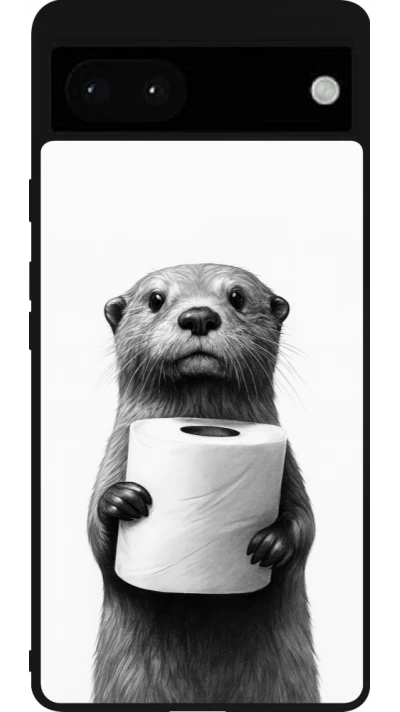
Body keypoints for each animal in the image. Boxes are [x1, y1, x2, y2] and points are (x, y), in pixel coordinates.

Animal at [88, 263, 319, 703]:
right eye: (156, 299)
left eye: (237, 297)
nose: (199, 316)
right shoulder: (113, 458)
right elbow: (96, 537)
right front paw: (121, 501)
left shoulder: (290, 469)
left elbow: (307, 524)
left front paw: (272, 542)